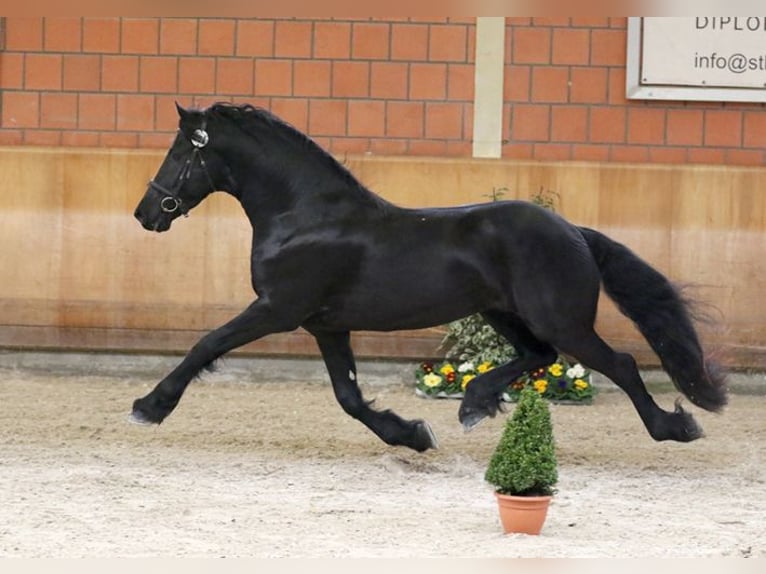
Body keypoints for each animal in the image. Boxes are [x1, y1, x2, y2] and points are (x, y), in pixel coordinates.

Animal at [134, 104, 732, 454]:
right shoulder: (324, 325)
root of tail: (574, 233)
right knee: (538, 357)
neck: (306, 216)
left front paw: (149, 407)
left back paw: (674, 428)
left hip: (560, 320)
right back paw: (473, 405)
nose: (147, 213)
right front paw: (413, 435)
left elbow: (206, 344)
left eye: (182, 151)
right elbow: (348, 396)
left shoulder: (278, 309)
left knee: (620, 364)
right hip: (503, 313)